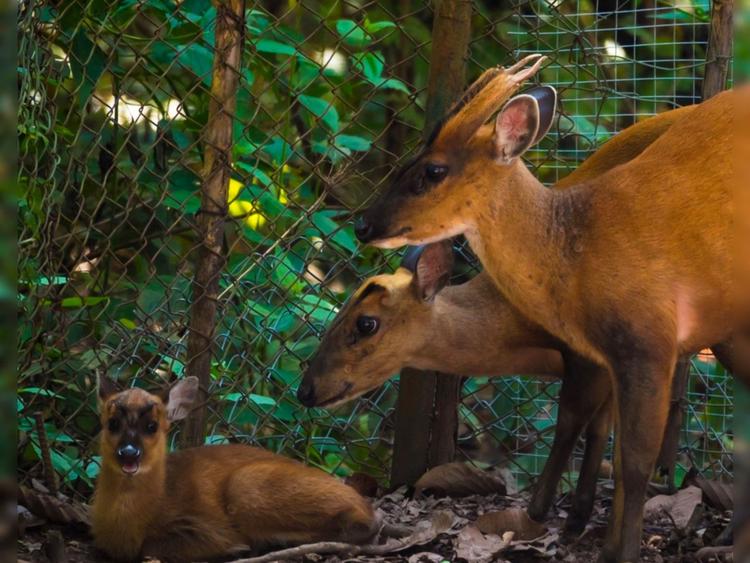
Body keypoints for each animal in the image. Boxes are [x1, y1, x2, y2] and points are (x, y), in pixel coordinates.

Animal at [93, 376, 376, 560]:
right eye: (112, 423)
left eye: (152, 426)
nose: (129, 453)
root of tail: (364, 505)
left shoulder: (207, 528)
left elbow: (151, 548)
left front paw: (234, 549)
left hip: (247, 484)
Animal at [354, 54, 750, 563]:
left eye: (434, 171)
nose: (364, 225)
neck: (574, 249)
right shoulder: (610, 353)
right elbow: (612, 447)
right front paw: (602, 544)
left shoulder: (647, 341)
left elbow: (634, 463)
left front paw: (619, 551)